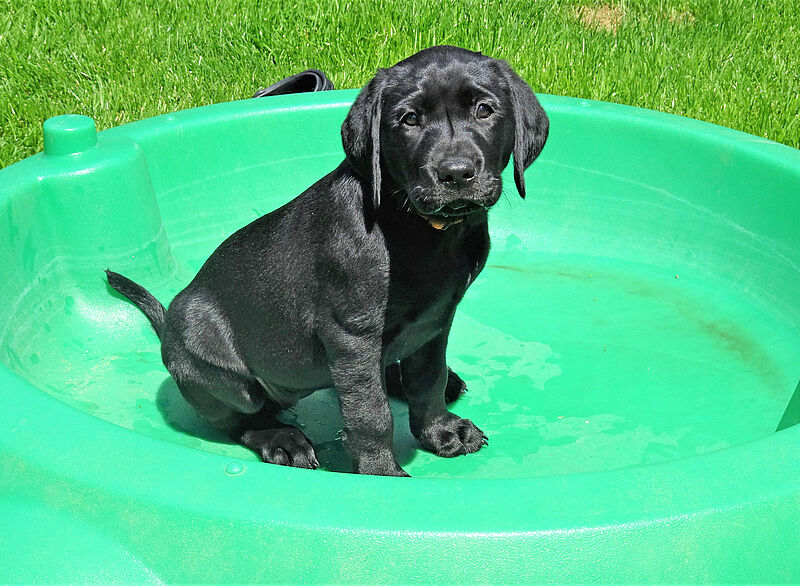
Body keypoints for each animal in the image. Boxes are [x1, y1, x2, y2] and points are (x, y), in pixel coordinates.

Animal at [106, 45, 548, 474]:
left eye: (484, 110)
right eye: (409, 120)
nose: (455, 173)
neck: (420, 229)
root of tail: (167, 328)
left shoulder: (436, 321)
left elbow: (428, 380)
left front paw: (440, 432)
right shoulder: (352, 336)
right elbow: (371, 413)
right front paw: (381, 473)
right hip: (219, 363)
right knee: (240, 419)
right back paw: (281, 440)